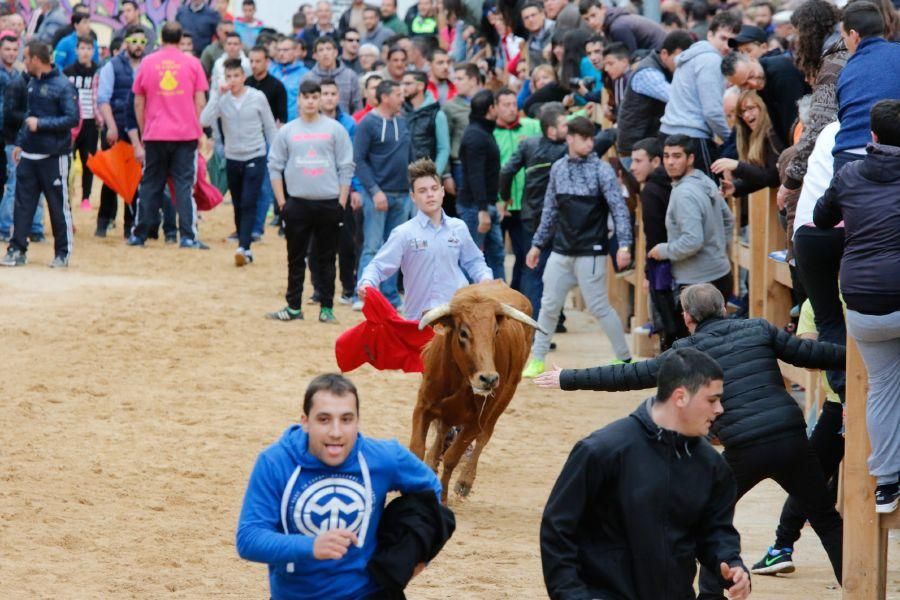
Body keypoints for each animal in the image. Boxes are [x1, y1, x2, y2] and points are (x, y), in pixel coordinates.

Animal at [412, 280, 544, 502]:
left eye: (496, 332)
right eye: (463, 333)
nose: (489, 379)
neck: (459, 380)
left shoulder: (476, 421)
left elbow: (452, 457)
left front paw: (443, 497)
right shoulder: (423, 407)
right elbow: (417, 449)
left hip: (503, 400)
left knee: (483, 437)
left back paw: (465, 481)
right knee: (442, 431)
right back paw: (431, 462)